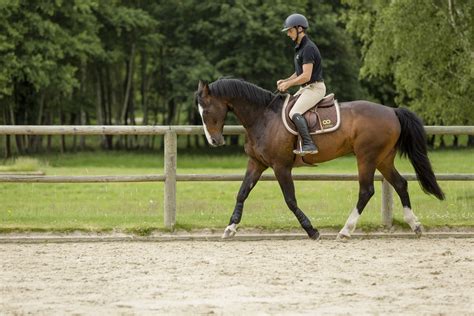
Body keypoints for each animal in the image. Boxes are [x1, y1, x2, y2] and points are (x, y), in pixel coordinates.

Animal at [194, 78, 446, 239]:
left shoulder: (280, 167)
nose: (214, 141)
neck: (263, 117)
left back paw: (346, 230)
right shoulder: (257, 163)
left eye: (206, 111)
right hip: (383, 159)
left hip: (367, 157)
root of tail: (392, 110)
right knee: (400, 184)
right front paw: (230, 227)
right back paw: (415, 225)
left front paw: (311, 230)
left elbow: (290, 200)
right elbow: (242, 192)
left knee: (366, 191)